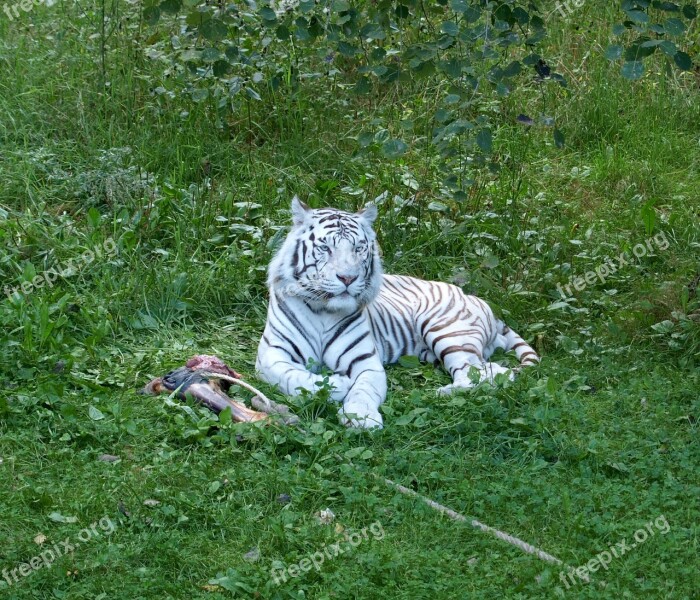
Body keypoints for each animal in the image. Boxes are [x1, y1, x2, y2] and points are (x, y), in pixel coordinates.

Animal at [254, 199, 540, 428]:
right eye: (325, 248)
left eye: (359, 248)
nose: (348, 278)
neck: (324, 309)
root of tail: (474, 298)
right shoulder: (271, 356)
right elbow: (293, 378)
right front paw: (338, 384)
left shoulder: (366, 362)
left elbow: (363, 390)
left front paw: (361, 418)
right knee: (492, 371)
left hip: (447, 331)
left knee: (486, 373)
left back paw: (441, 393)